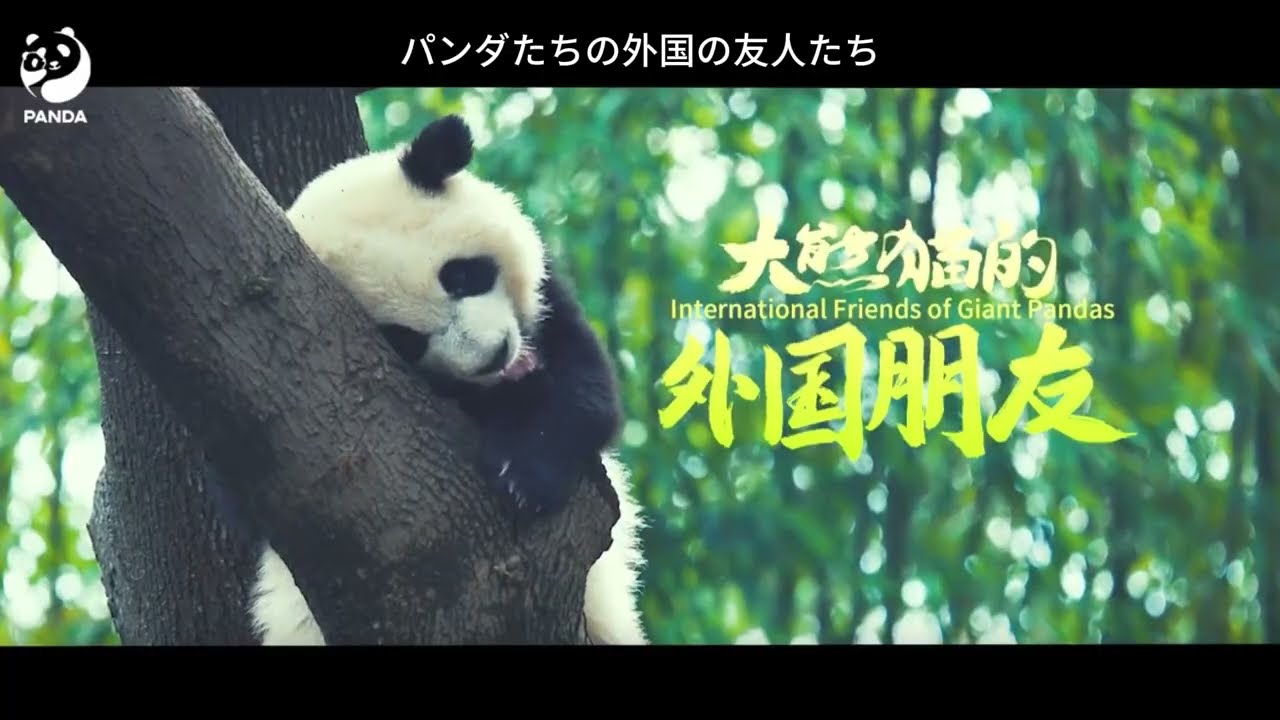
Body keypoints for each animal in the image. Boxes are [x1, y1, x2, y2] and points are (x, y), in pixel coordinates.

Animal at [247, 113, 648, 645]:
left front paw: (524, 474)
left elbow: (586, 392)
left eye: (460, 276)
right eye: (406, 341)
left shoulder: (550, 308)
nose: (492, 355)